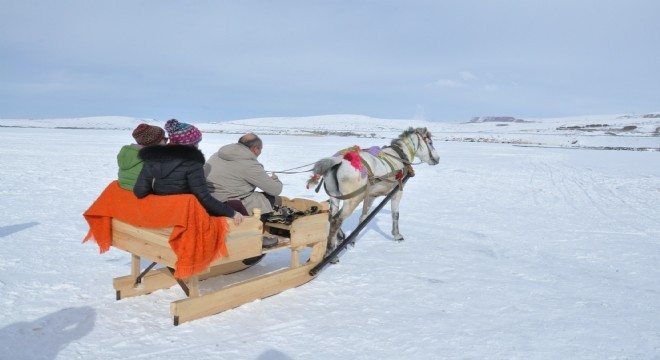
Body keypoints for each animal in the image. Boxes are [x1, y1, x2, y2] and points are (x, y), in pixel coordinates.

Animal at [306, 126, 440, 253]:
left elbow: (363, 217)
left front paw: (352, 240)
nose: (438, 159)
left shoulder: (370, 196)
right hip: (352, 200)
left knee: (331, 216)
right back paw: (331, 251)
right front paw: (397, 235)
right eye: (430, 142)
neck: (399, 156)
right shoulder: (397, 192)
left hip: (334, 196)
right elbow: (395, 214)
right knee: (336, 220)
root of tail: (336, 161)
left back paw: (340, 238)